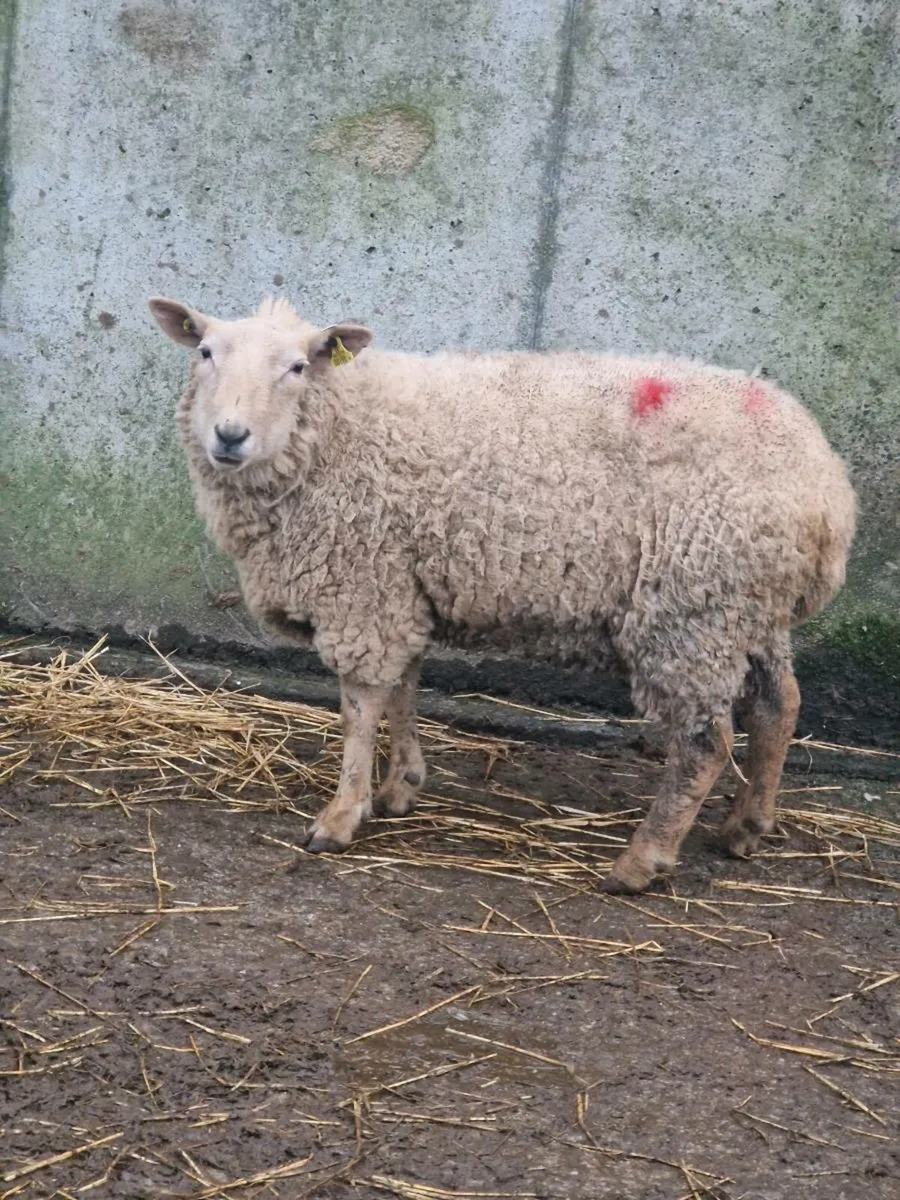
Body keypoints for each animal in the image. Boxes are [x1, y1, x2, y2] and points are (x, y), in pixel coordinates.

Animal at [148, 295, 856, 893]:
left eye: (297, 366)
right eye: (204, 352)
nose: (229, 435)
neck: (340, 426)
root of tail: (828, 493)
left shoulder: (362, 584)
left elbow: (361, 706)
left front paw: (343, 815)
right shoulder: (402, 582)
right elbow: (405, 686)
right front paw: (401, 786)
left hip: (692, 610)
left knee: (706, 742)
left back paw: (641, 860)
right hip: (748, 611)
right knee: (778, 706)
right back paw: (745, 828)